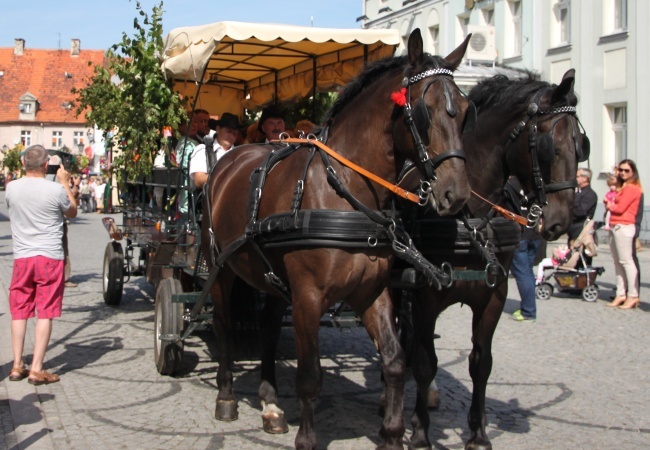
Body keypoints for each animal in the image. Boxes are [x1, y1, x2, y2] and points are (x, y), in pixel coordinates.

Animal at [201, 29, 470, 448]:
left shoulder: (372, 293)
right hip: (221, 269)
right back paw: (227, 395)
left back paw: (270, 403)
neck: (344, 191)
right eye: (424, 110)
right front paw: (308, 438)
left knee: (266, 328)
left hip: (272, 277)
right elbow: (311, 375)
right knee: (225, 324)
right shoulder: (309, 297)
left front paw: (392, 433)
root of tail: (228, 160)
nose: (456, 194)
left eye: (466, 108)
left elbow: (395, 361)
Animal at [402, 70, 584, 450]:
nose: (561, 221)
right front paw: (420, 432)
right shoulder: (426, 295)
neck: (469, 216)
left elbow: (480, 363)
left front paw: (478, 433)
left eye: (581, 146)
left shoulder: (494, 296)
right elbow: (426, 362)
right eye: (550, 145)